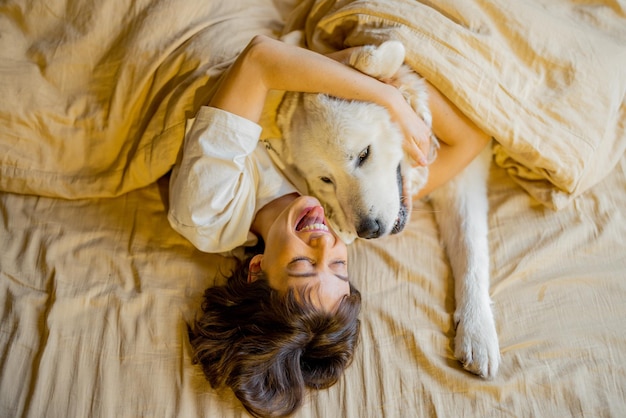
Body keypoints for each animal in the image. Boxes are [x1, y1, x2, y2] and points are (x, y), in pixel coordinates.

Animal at [260, 36, 500, 378]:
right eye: (326, 179)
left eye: (364, 154)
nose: (368, 230)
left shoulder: (465, 174)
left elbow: (471, 251)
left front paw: (477, 330)